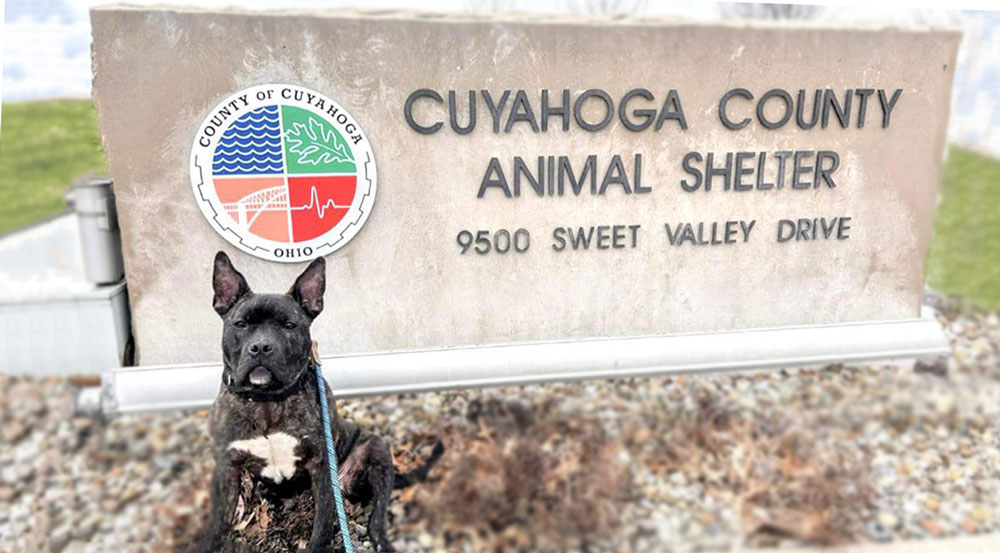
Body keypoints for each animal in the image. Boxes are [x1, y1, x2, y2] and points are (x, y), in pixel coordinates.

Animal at [194, 251, 442, 552]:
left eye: (289, 325)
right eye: (241, 324)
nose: (262, 347)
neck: (267, 400)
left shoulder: (322, 468)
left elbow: (321, 528)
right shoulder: (227, 470)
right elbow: (216, 527)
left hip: (376, 450)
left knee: (376, 519)